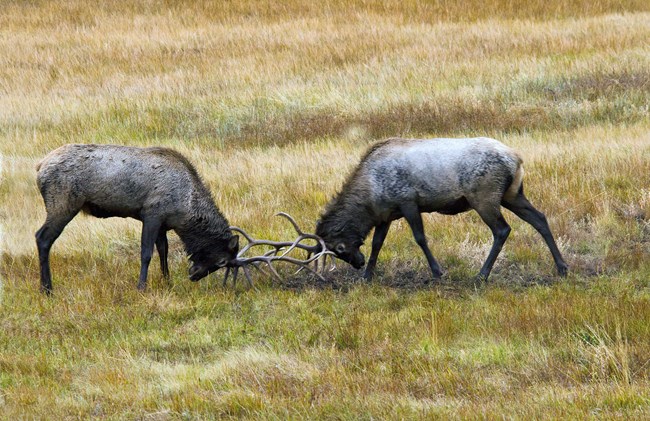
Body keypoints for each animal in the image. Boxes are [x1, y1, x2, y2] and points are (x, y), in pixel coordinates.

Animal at [314, 138, 568, 280]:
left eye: (339, 247)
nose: (358, 263)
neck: (371, 196)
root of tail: (517, 159)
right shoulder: (386, 214)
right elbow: (378, 242)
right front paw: (368, 276)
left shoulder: (408, 201)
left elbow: (420, 238)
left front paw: (437, 272)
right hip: (512, 194)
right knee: (540, 218)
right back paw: (562, 267)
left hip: (484, 197)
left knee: (502, 230)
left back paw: (482, 274)